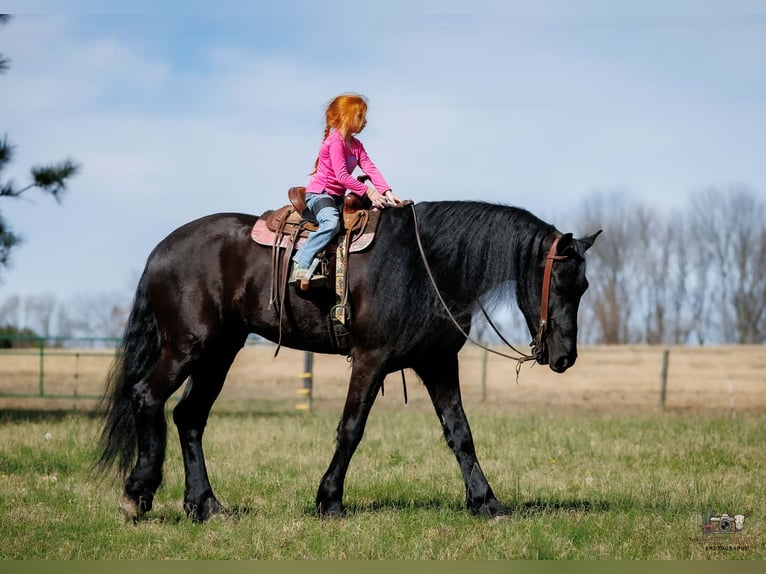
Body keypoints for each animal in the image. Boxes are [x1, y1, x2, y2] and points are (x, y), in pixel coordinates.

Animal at [95, 200, 601, 522]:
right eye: (560, 283)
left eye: (585, 287)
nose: (565, 357)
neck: (425, 267)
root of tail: (163, 249)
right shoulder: (370, 360)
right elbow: (351, 430)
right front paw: (330, 502)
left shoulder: (438, 362)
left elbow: (461, 435)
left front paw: (487, 503)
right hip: (188, 347)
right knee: (147, 397)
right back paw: (138, 494)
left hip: (220, 352)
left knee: (189, 416)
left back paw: (206, 506)